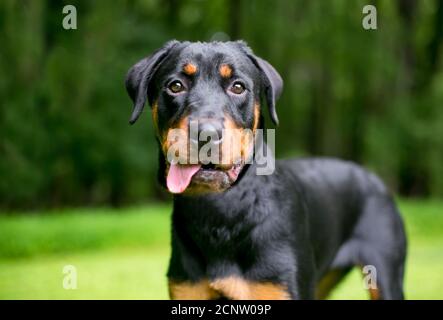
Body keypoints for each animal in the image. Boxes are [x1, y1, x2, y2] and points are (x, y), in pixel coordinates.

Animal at [124, 40, 406, 300]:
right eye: (175, 86)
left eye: (238, 87)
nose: (205, 133)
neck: (222, 213)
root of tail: (373, 178)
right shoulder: (188, 290)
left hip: (384, 273)